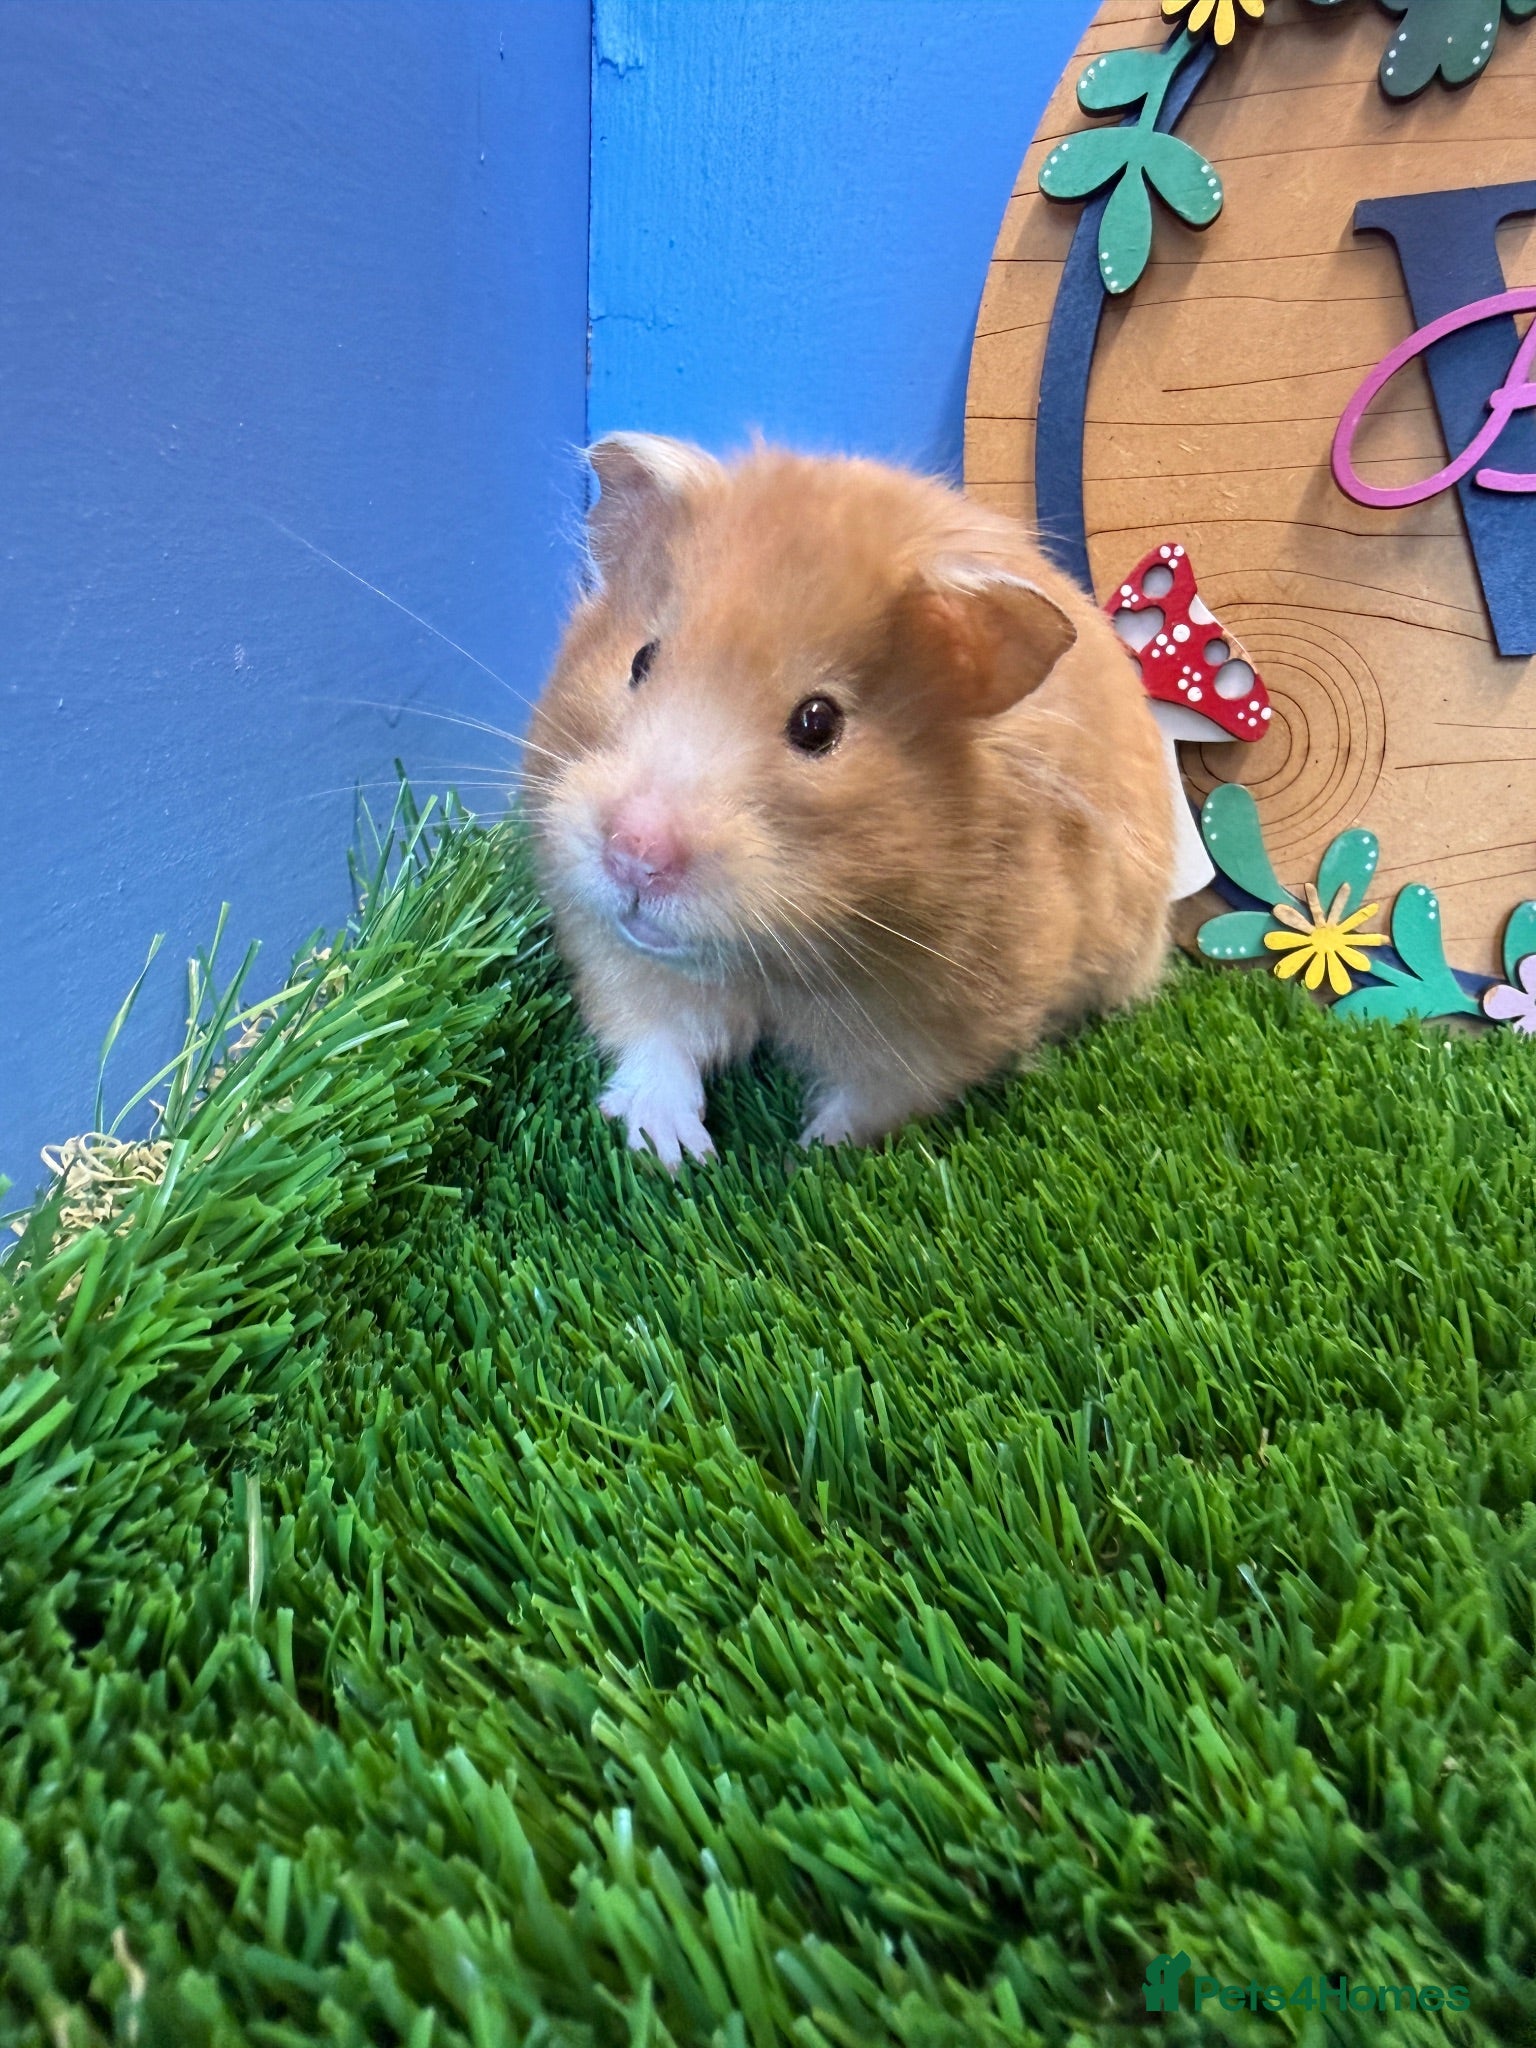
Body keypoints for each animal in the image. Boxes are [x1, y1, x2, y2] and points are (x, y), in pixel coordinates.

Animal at [524, 435, 1175, 1167]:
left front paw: (806, 1155)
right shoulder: (617, 952)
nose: (633, 856)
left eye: (818, 723)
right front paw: (676, 1153)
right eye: (640, 661)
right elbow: (655, 1043)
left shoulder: (938, 1029)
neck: (779, 961)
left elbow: (870, 1102)